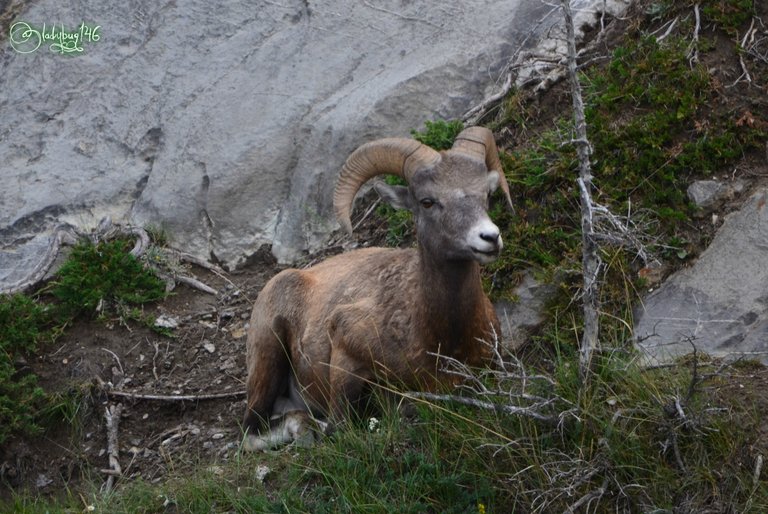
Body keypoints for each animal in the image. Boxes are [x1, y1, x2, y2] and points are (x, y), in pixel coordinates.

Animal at [243, 125, 512, 448]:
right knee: (252, 431)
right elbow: (339, 427)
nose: (489, 237)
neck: (442, 341)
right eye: (427, 201)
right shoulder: (345, 348)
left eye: (486, 193)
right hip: (268, 354)